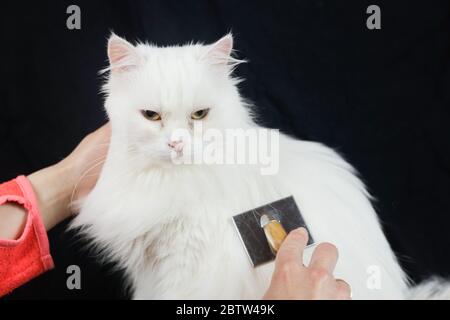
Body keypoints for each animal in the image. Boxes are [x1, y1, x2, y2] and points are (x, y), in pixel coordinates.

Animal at [71, 33, 450, 298]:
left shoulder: (184, 268)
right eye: (152, 116)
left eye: (199, 115)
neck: (170, 182)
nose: (177, 144)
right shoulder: (149, 270)